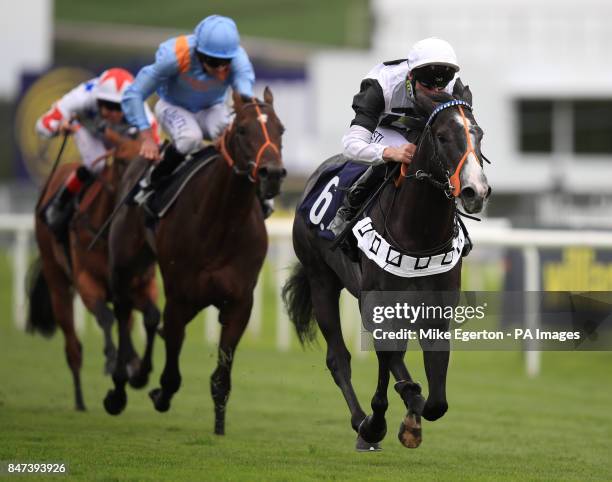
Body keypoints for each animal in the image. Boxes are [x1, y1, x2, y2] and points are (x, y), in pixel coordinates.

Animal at [26, 132, 160, 410]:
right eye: (121, 160)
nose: (136, 190)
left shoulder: (141, 285)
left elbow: (148, 316)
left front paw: (134, 366)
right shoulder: (87, 282)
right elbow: (106, 318)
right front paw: (112, 361)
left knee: (125, 323)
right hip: (57, 281)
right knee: (73, 346)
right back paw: (80, 401)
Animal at [105, 87, 286, 436]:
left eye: (280, 129)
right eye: (242, 130)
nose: (272, 174)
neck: (221, 222)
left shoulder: (239, 303)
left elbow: (222, 377)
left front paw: (219, 427)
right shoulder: (180, 299)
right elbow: (171, 373)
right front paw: (159, 394)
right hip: (124, 263)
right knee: (122, 311)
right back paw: (119, 390)